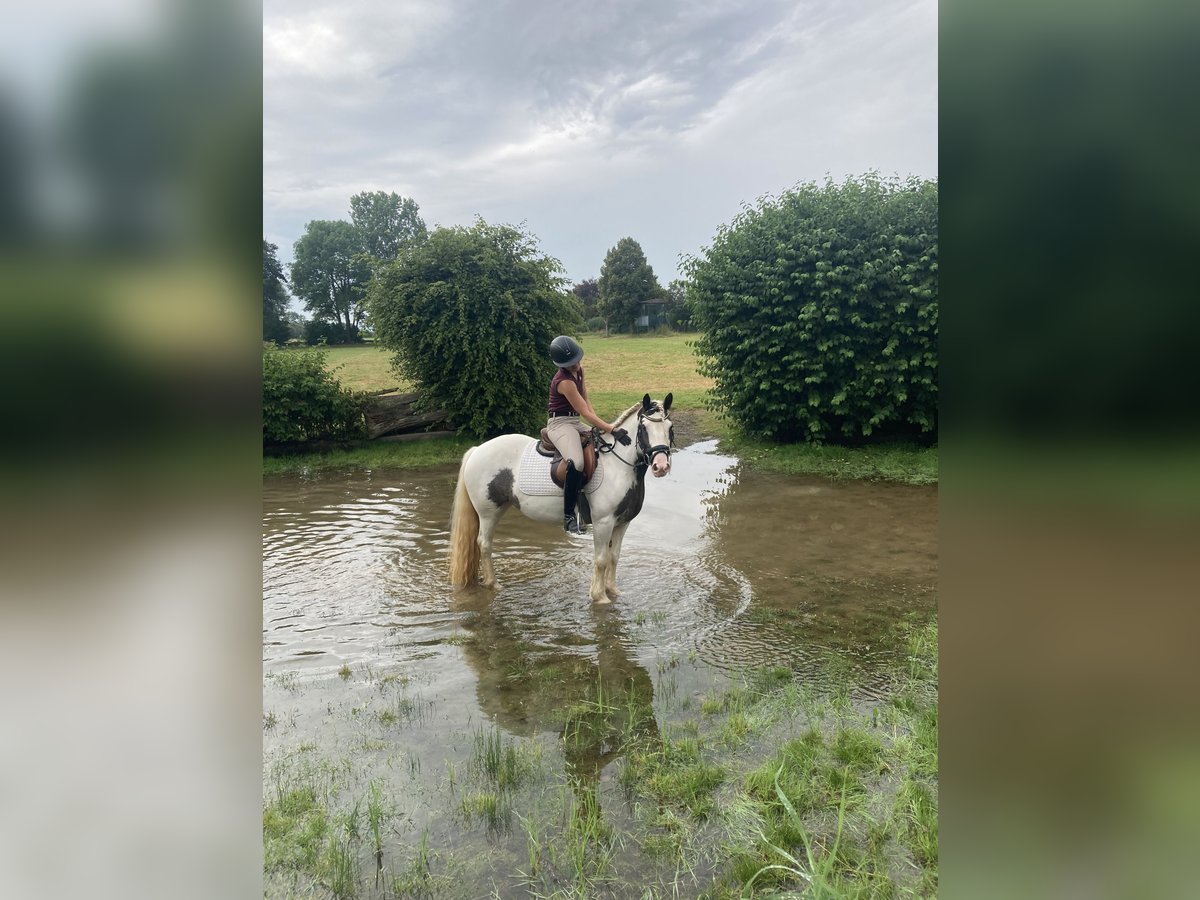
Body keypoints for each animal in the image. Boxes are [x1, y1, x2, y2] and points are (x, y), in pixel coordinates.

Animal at [451, 393, 676, 607]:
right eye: (644, 428)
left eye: (670, 427)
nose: (661, 466)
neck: (619, 465)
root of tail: (478, 450)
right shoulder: (603, 522)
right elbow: (601, 559)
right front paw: (599, 597)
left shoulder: (622, 523)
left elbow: (614, 557)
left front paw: (613, 591)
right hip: (488, 512)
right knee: (484, 544)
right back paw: (493, 584)